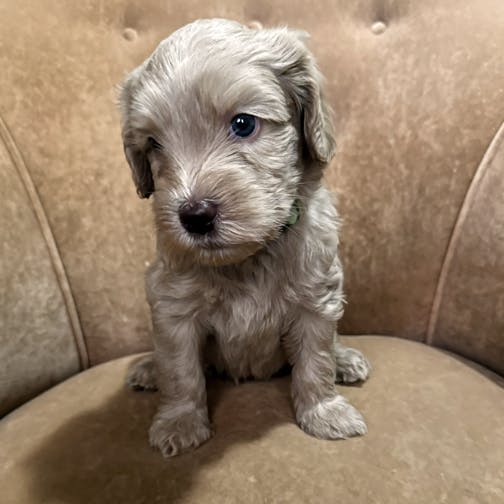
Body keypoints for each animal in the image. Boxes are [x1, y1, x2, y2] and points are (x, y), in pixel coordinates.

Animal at [118, 18, 370, 456]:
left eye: (244, 124)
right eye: (153, 144)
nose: (194, 216)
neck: (249, 256)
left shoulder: (316, 298)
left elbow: (316, 360)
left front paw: (324, 412)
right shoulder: (173, 306)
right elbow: (180, 371)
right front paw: (180, 423)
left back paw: (344, 360)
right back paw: (149, 369)